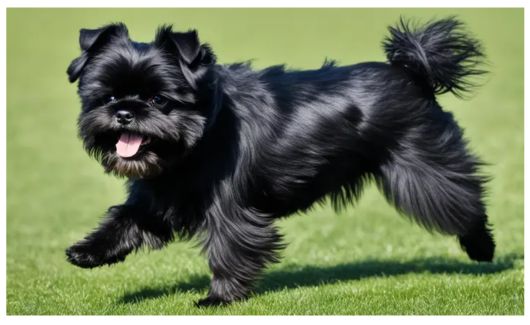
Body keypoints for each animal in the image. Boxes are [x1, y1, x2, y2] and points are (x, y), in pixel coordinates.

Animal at [66, 17, 496, 306]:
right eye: (107, 96)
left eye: (159, 100)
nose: (125, 112)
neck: (198, 137)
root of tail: (410, 70)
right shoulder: (160, 195)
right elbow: (125, 220)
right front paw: (87, 252)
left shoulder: (229, 209)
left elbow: (228, 248)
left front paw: (219, 298)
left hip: (420, 171)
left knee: (463, 199)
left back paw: (482, 247)